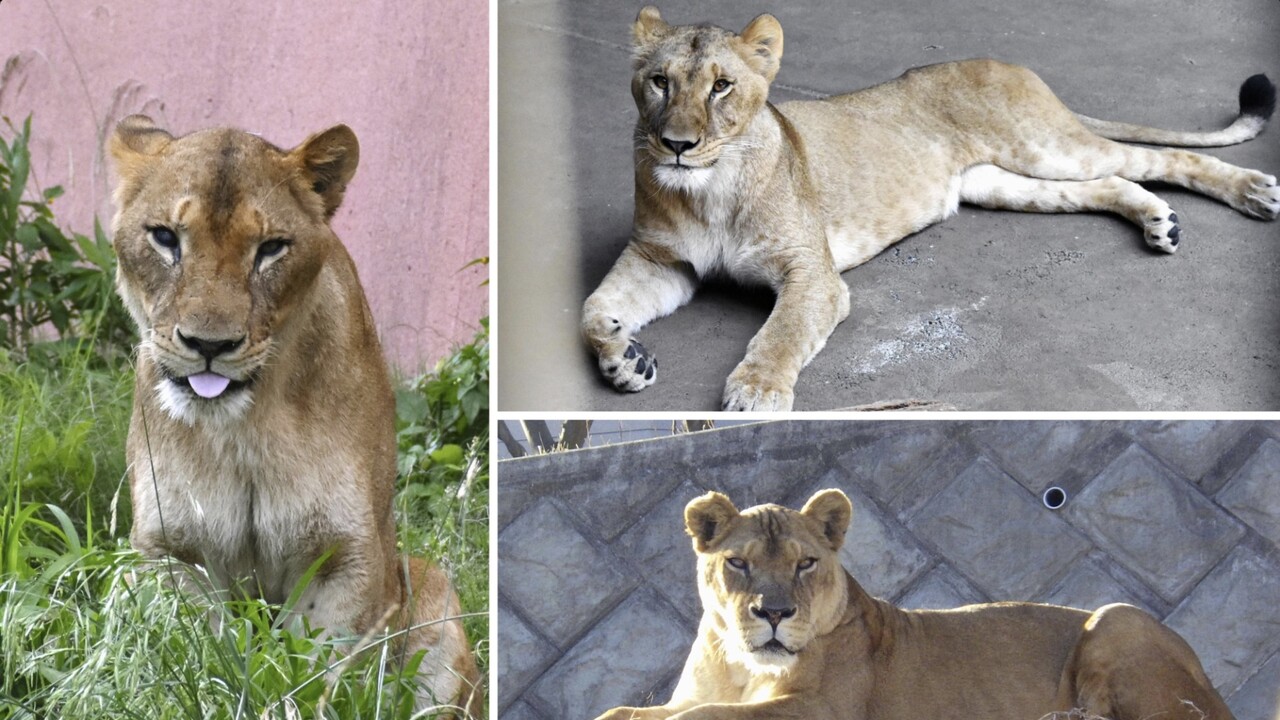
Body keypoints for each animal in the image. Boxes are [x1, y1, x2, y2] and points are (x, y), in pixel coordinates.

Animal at [109, 115, 482, 717]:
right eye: (165, 237)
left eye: (271, 248)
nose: (209, 345)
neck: (245, 428)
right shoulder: (173, 552)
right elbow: (198, 658)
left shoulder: (346, 556)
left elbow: (318, 674)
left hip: (429, 585)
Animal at [582, 6, 1280, 411]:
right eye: (660, 82)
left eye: (722, 86)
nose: (676, 145)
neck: (709, 189)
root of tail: (1008, 61)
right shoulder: (661, 260)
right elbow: (593, 310)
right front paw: (626, 360)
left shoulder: (813, 274)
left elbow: (782, 333)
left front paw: (757, 393)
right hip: (1004, 183)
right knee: (1109, 183)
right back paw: (1159, 221)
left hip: (1047, 147)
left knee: (1159, 158)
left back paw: (1254, 192)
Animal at [595, 488, 1234, 720]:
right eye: (739, 563)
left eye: (805, 563)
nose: (774, 614)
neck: (741, 665)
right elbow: (633, 711)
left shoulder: (823, 711)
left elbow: (708, 717)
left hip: (1117, 617)